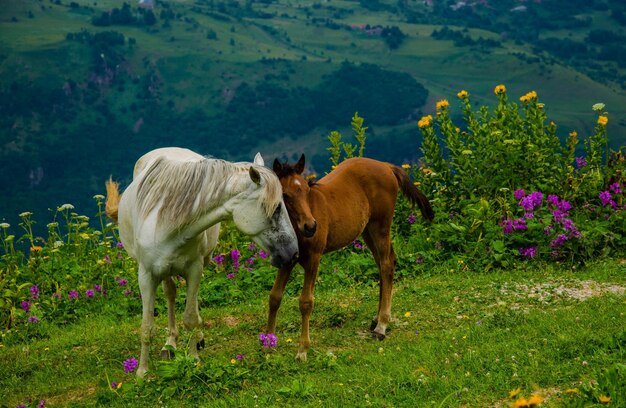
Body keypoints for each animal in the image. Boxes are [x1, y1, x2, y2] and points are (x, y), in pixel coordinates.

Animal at [106, 148, 298, 378]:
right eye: (277, 208)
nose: (293, 253)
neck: (166, 223)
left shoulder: (194, 269)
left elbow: (190, 317)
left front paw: (193, 359)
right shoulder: (146, 276)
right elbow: (147, 327)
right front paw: (142, 372)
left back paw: (196, 339)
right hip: (163, 272)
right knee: (170, 294)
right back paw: (170, 344)